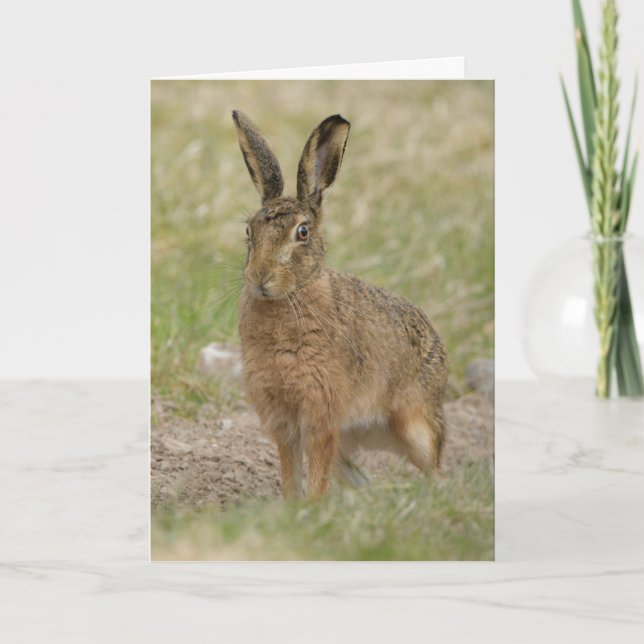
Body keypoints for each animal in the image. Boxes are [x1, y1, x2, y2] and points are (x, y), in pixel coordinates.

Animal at [232, 110, 448, 499]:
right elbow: (291, 471)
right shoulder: (284, 419)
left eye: (302, 232)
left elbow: (316, 472)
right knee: (360, 478)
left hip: (416, 424)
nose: (259, 277)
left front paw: (313, 507)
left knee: (435, 469)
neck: (292, 295)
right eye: (249, 231)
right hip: (350, 444)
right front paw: (293, 507)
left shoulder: (321, 413)